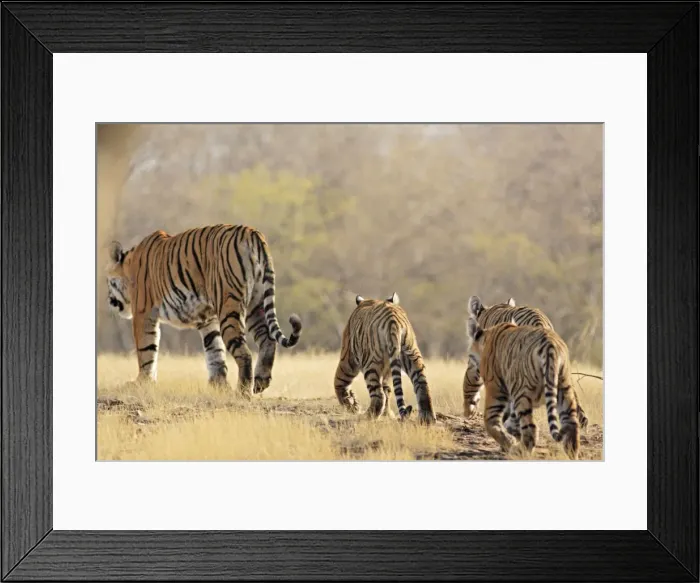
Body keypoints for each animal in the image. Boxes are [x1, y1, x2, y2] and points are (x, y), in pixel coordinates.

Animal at [106, 224, 302, 397]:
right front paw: (219, 386)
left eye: (108, 282)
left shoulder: (143, 312)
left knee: (244, 351)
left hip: (230, 306)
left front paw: (141, 382)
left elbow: (146, 349)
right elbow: (215, 351)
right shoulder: (207, 319)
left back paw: (242, 392)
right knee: (267, 339)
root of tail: (252, 233)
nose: (108, 300)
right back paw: (260, 382)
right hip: (257, 303)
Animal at [333, 292, 436, 425]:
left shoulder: (347, 357)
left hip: (370, 361)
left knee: (378, 394)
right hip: (411, 353)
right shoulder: (388, 370)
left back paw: (367, 415)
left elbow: (339, 382)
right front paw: (387, 414)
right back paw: (427, 418)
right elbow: (388, 389)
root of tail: (393, 320)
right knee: (422, 385)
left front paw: (352, 406)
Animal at [466, 317, 581, 459]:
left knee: (531, 427)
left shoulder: (495, 387)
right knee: (571, 424)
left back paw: (519, 451)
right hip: (564, 388)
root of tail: (550, 345)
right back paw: (572, 454)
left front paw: (508, 442)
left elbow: (490, 420)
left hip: (521, 393)